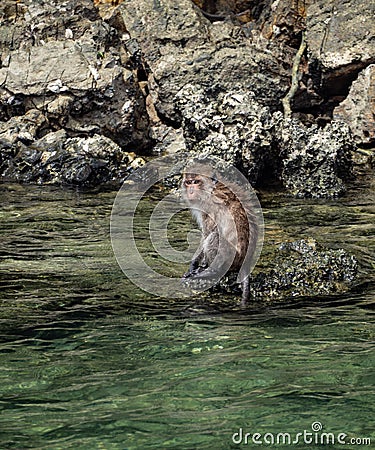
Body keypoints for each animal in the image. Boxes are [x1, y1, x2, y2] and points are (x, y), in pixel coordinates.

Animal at [181, 163, 258, 304]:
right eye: (188, 182)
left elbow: (207, 233)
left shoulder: (208, 208)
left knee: (215, 236)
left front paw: (195, 265)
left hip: (231, 258)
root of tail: (246, 260)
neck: (210, 190)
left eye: (196, 182)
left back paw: (212, 271)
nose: (191, 191)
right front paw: (194, 265)